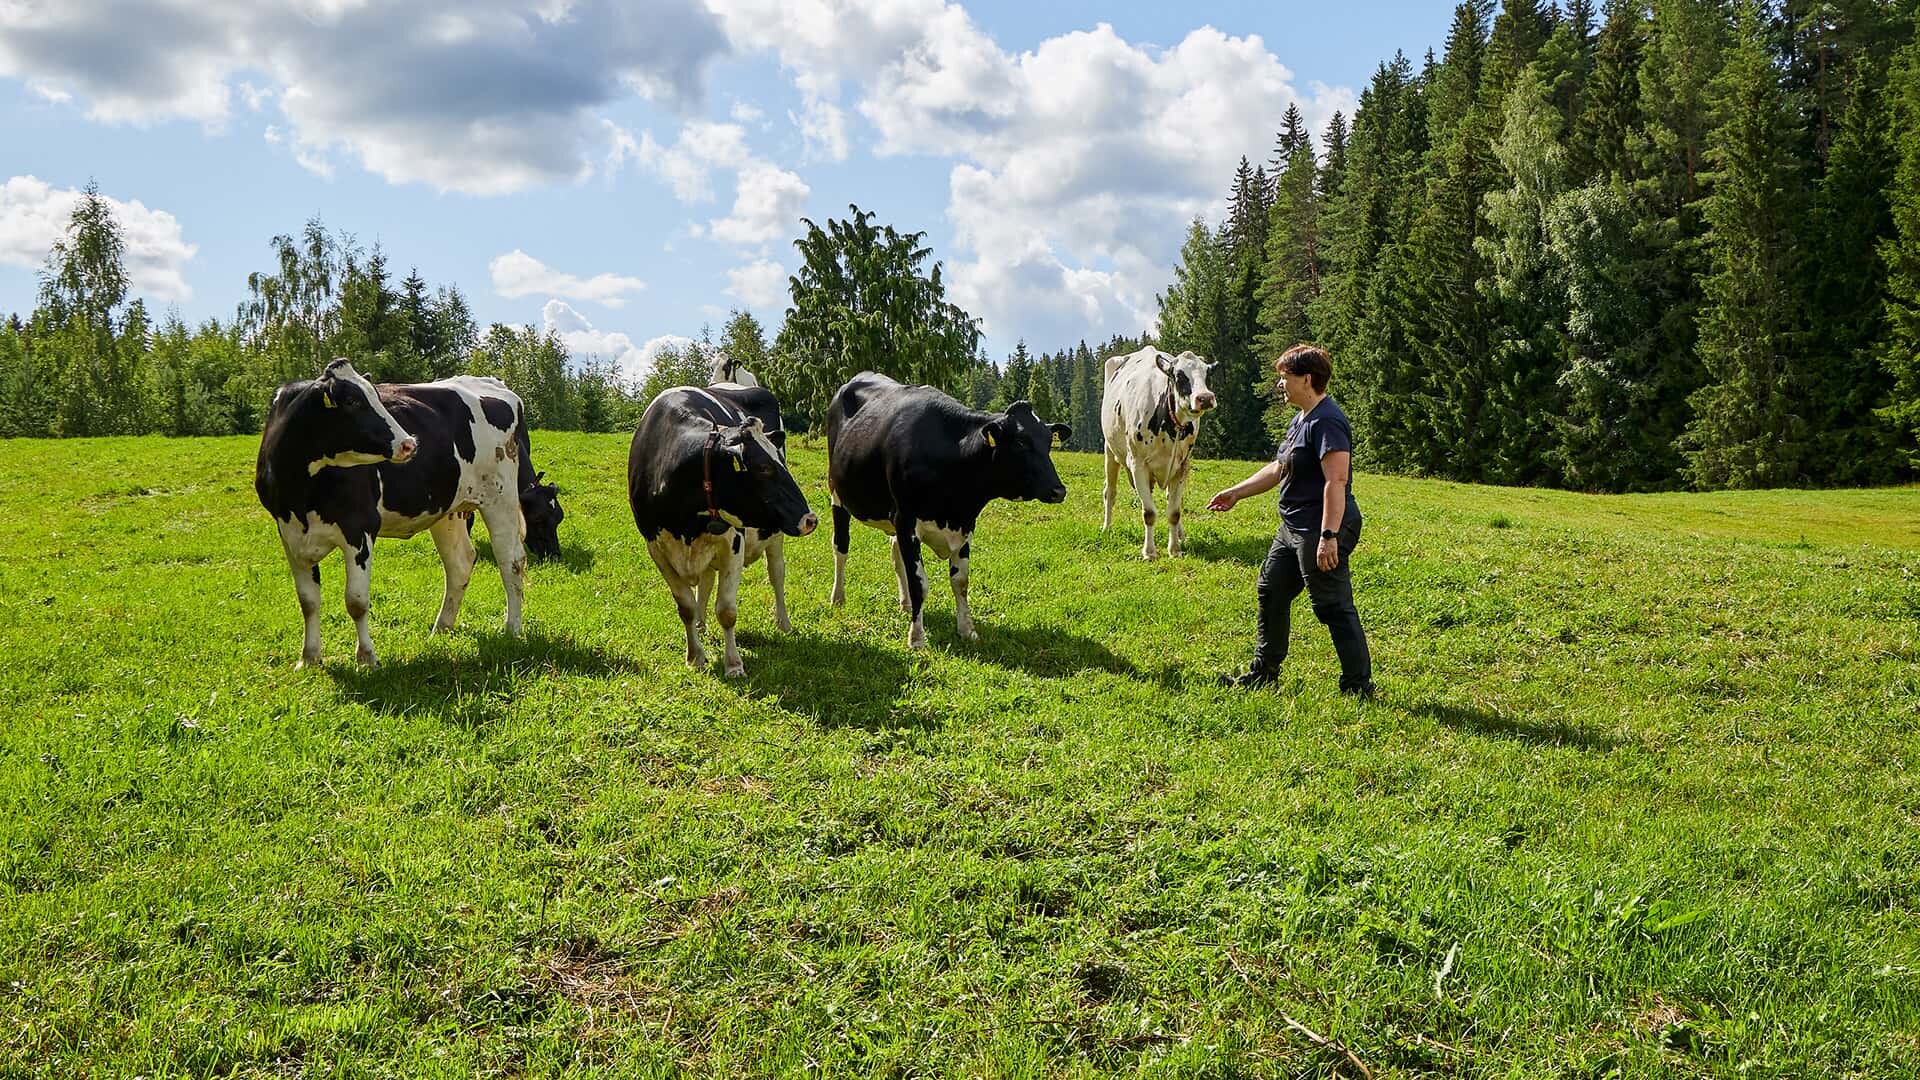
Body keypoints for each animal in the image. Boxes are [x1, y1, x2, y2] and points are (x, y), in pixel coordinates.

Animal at [251, 359, 533, 664]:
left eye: (375, 395)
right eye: (352, 401)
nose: (409, 443)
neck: (302, 491)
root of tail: (493, 383)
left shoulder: (360, 528)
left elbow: (356, 601)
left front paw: (366, 657)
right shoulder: (289, 533)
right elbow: (308, 601)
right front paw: (309, 658)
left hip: (500, 496)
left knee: (511, 560)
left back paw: (512, 628)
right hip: (449, 509)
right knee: (460, 562)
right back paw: (441, 629)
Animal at [625, 384, 814, 672]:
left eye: (779, 462)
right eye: (763, 468)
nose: (810, 518)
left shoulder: (733, 543)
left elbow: (726, 611)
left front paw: (733, 664)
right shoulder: (655, 548)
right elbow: (686, 607)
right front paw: (695, 656)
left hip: (775, 537)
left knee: (776, 575)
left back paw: (784, 623)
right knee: (705, 581)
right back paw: (701, 625)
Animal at [821, 372, 1075, 645]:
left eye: (1048, 442)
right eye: (1019, 443)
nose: (1058, 490)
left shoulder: (965, 524)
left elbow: (960, 581)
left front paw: (967, 630)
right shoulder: (906, 520)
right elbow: (919, 583)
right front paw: (917, 637)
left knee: (896, 556)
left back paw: (906, 605)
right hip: (837, 494)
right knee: (840, 547)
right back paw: (838, 598)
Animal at [1098, 345, 1213, 564]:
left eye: (1207, 373)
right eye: (1179, 375)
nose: (1205, 398)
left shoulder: (1182, 466)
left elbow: (1174, 511)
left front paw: (1175, 549)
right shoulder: (1138, 465)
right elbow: (1149, 513)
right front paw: (1149, 552)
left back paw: (1181, 534)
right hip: (1110, 451)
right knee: (1110, 492)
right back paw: (1106, 528)